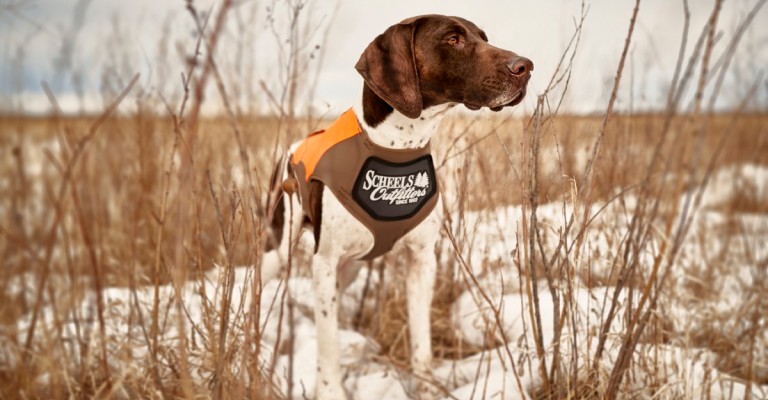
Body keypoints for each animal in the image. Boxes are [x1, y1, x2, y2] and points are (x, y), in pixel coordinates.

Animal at [260, 14, 532, 398]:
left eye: (484, 37)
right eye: (452, 39)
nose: (526, 67)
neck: (396, 146)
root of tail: (292, 148)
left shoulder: (421, 261)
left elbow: (421, 341)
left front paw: (427, 387)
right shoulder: (324, 262)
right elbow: (327, 345)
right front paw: (330, 389)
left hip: (349, 267)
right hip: (278, 248)